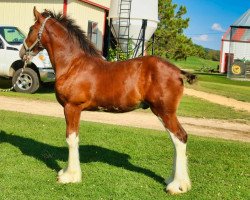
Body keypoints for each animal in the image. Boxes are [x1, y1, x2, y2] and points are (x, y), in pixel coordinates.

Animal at [19, 7, 195, 194]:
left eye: (31, 29)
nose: (22, 52)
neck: (73, 64)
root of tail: (178, 72)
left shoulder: (71, 108)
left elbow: (71, 139)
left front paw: (70, 176)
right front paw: (67, 172)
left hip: (164, 112)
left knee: (180, 138)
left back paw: (177, 185)